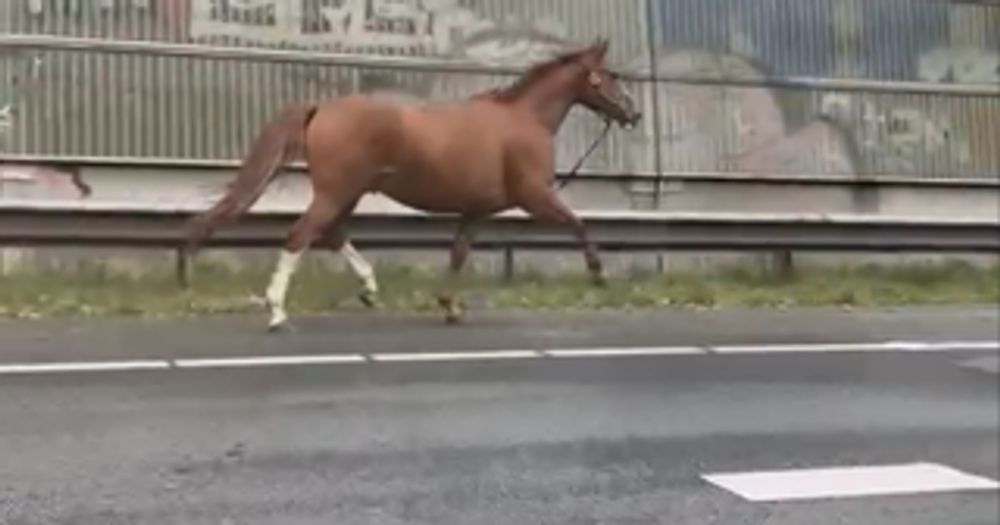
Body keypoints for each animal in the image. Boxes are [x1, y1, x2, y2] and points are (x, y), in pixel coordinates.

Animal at [185, 39, 640, 330]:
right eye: (608, 76)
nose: (633, 115)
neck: (524, 120)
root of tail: (322, 109)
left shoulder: (477, 210)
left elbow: (458, 253)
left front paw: (450, 306)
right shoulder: (535, 198)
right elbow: (578, 224)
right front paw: (598, 274)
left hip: (348, 194)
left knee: (331, 234)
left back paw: (369, 290)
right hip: (336, 192)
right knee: (301, 235)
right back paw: (277, 311)